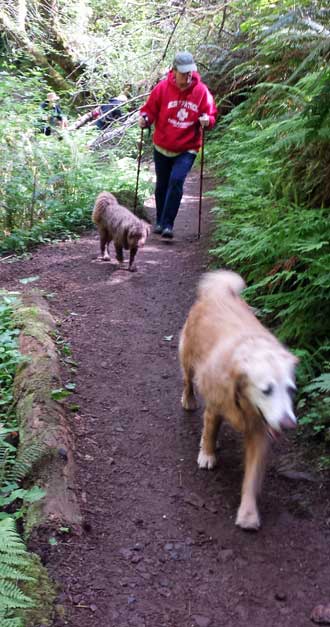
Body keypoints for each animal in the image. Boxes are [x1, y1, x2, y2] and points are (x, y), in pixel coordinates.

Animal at [179, 270, 298, 528]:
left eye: (290, 390)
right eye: (266, 390)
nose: (288, 424)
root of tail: (219, 292)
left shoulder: (260, 432)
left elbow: (251, 477)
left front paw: (248, 513)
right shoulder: (215, 405)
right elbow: (210, 429)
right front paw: (207, 454)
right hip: (188, 357)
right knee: (187, 381)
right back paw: (189, 401)